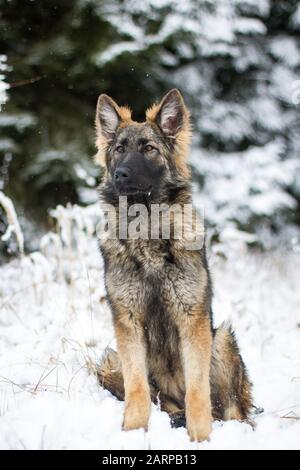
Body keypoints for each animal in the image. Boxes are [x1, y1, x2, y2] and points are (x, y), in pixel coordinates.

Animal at [94, 87, 253, 440]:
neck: (148, 235)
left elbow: (198, 391)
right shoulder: (127, 323)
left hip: (222, 339)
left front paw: (201, 438)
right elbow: (137, 388)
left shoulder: (191, 319)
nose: (119, 174)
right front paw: (133, 432)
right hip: (110, 360)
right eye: (119, 149)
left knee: (232, 409)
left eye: (149, 149)